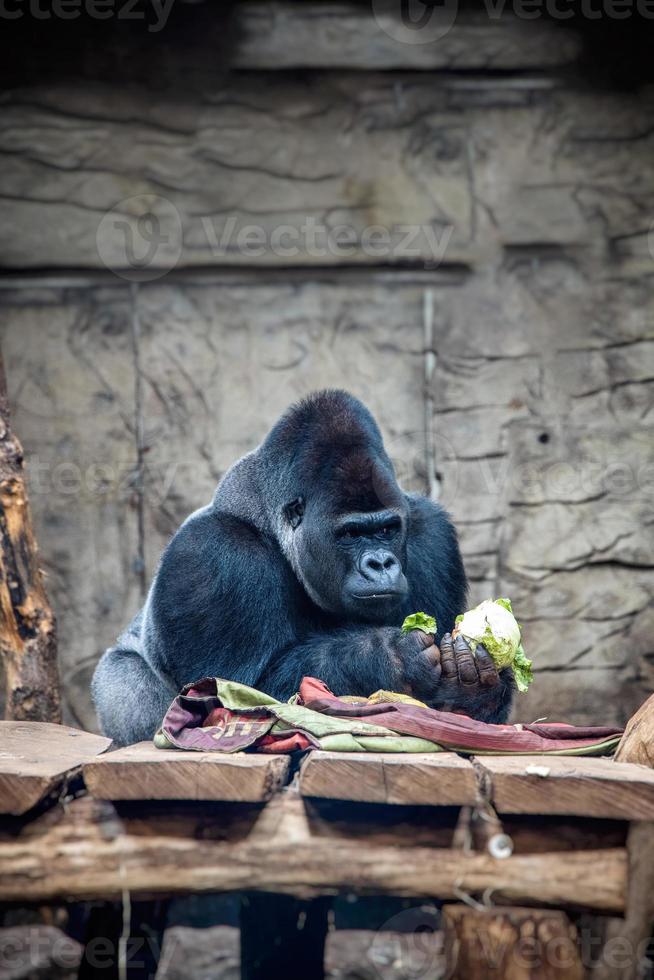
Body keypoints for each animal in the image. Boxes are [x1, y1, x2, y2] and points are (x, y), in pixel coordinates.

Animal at [92, 390, 516, 744]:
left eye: (387, 529)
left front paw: (470, 688)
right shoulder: (209, 553)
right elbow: (230, 696)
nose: (380, 563)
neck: (266, 520)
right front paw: (386, 655)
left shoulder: (430, 533)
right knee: (126, 685)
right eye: (350, 533)